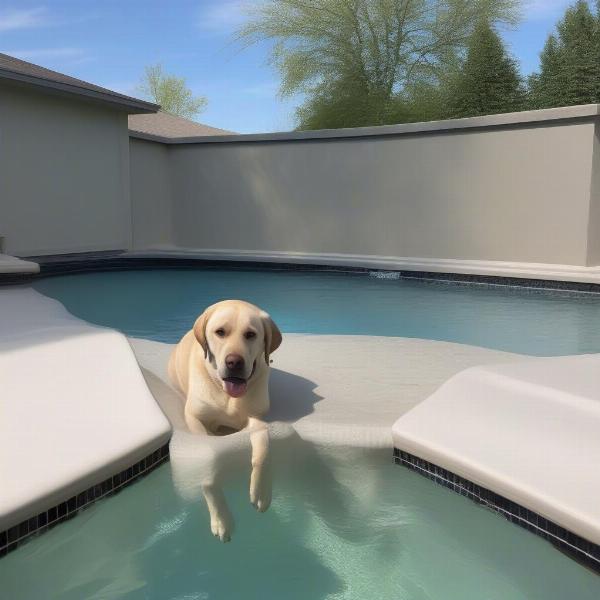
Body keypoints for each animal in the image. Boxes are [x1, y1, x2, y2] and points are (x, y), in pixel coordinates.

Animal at [168, 298, 282, 540]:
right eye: (220, 332)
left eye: (250, 334)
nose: (234, 362)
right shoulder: (195, 419)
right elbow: (208, 469)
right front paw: (221, 519)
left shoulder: (257, 418)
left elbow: (262, 452)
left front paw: (262, 492)